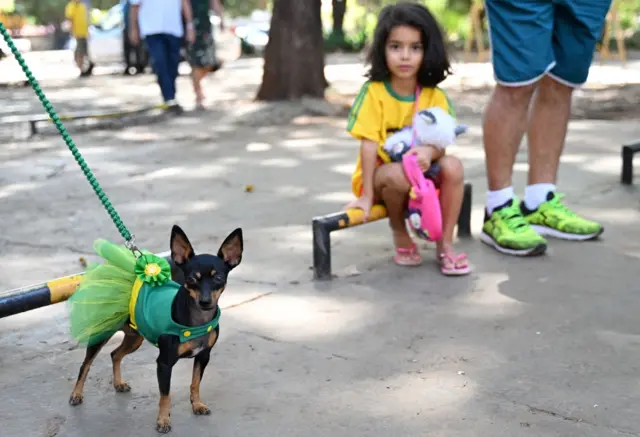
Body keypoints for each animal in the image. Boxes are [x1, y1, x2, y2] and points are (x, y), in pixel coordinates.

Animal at [68, 225, 242, 432]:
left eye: (219, 278)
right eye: (192, 278)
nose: (205, 301)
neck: (197, 321)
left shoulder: (203, 356)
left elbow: (195, 383)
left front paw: (197, 404)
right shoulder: (164, 363)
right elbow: (165, 395)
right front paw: (163, 420)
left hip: (135, 338)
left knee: (115, 354)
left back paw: (118, 383)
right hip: (103, 333)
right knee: (85, 365)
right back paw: (76, 394)